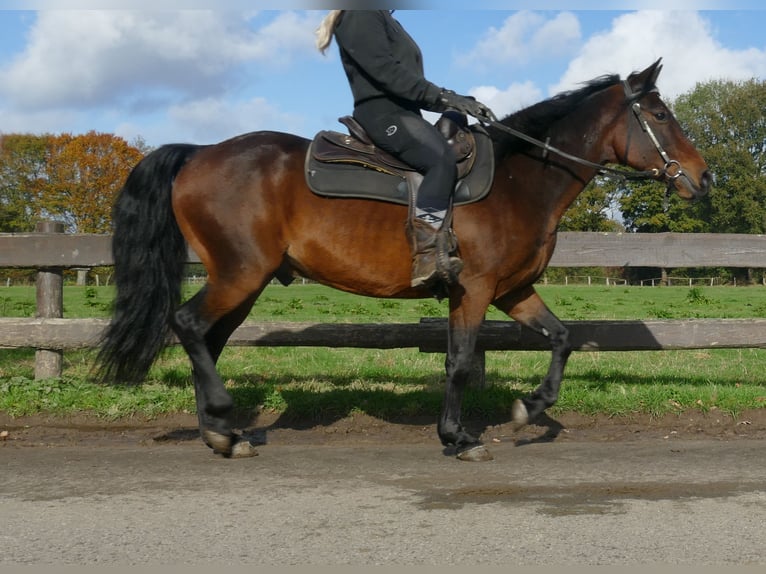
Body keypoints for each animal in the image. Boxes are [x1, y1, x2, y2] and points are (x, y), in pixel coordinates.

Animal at [96, 60, 712, 462]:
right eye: (659, 113)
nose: (702, 177)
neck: (520, 180)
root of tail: (199, 153)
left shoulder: (512, 290)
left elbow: (561, 339)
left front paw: (530, 408)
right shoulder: (475, 288)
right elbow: (459, 362)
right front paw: (457, 437)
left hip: (246, 281)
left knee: (208, 338)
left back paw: (221, 432)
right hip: (240, 273)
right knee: (187, 323)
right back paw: (223, 424)